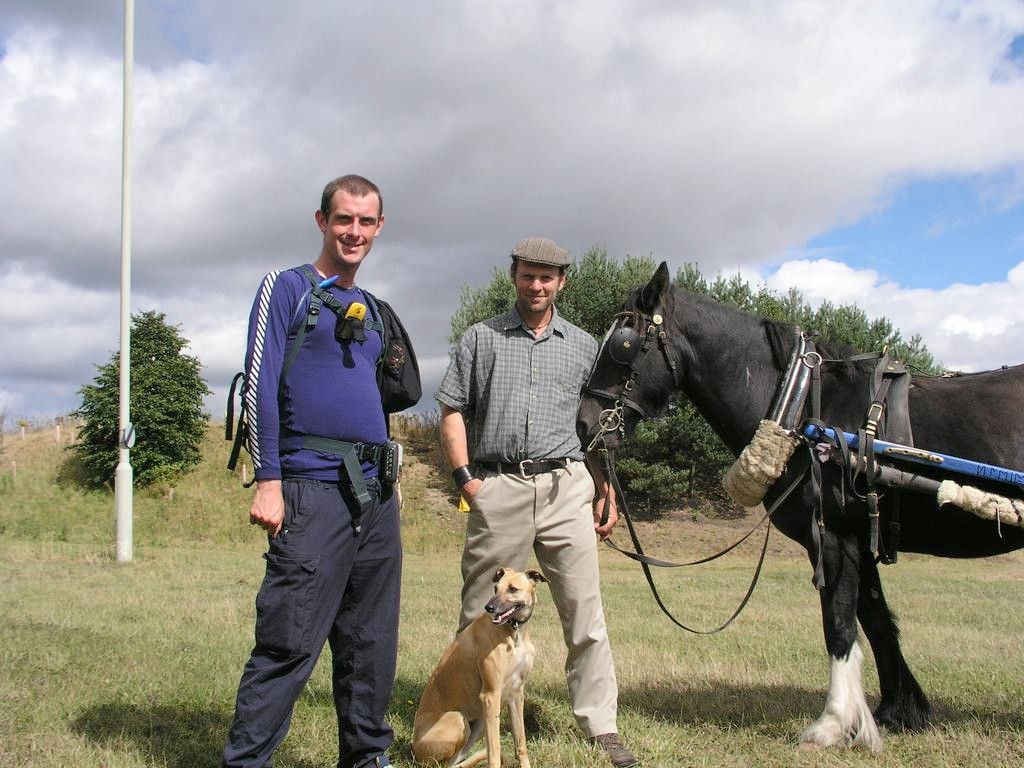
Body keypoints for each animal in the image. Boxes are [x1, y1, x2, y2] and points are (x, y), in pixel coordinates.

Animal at [411, 569, 548, 765]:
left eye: (513, 589)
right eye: (496, 588)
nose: (489, 607)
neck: (513, 635)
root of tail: (413, 747)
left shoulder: (516, 695)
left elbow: (521, 743)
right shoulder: (490, 696)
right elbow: (494, 753)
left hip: (480, 723)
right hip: (458, 719)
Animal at [577, 264, 1024, 753]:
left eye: (623, 343)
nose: (583, 423)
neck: (806, 410)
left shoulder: (832, 537)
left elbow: (840, 624)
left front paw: (833, 723)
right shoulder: (859, 538)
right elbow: (877, 621)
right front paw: (898, 711)